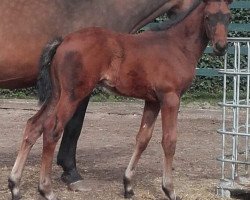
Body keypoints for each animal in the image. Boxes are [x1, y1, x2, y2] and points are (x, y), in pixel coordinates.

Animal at [7, 0, 231, 199]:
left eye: (228, 17)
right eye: (208, 17)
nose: (221, 47)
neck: (176, 45)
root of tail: (62, 42)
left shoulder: (152, 101)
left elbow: (142, 139)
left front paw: (129, 185)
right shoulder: (170, 98)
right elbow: (169, 141)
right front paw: (169, 189)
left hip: (56, 94)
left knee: (33, 125)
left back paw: (15, 186)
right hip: (72, 95)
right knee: (52, 130)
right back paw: (46, 189)